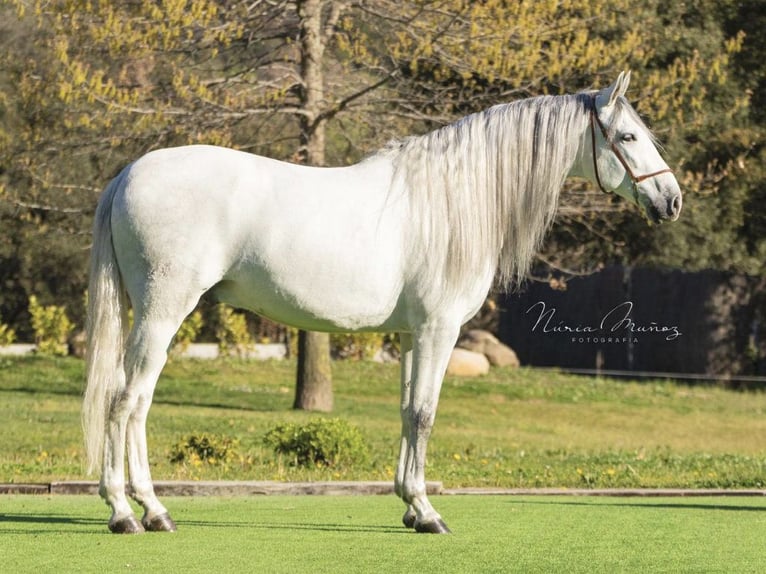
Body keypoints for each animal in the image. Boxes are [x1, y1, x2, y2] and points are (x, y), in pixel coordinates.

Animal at [83, 72, 681, 534]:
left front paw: (410, 507)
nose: (672, 200)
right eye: (627, 135)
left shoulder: (411, 334)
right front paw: (429, 512)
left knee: (136, 401)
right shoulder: (439, 329)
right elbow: (425, 412)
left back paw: (152, 511)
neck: (449, 200)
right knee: (126, 399)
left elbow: (406, 410)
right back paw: (128, 512)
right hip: (163, 312)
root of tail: (127, 174)